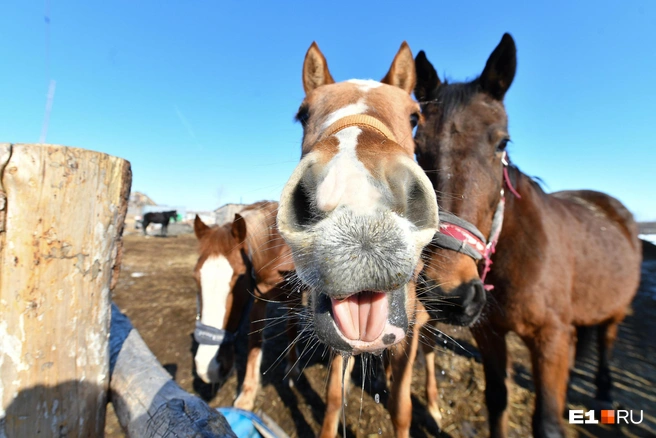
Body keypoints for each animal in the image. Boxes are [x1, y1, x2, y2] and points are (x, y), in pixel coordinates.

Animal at [191, 201, 296, 410]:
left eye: (241, 278)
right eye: (195, 277)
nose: (209, 368)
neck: (278, 249)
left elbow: (292, 328)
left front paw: (292, 370)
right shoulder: (257, 300)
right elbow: (254, 342)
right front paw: (247, 394)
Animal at [276, 41, 440, 438]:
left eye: (414, 116)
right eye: (303, 114)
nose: (358, 202)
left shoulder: (411, 326)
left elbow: (401, 407)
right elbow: (335, 396)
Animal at [416, 34, 640, 438]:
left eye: (502, 143)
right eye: (417, 144)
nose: (449, 292)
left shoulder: (550, 339)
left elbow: (547, 423)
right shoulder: (489, 334)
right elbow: (497, 399)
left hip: (614, 311)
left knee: (607, 338)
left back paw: (603, 389)